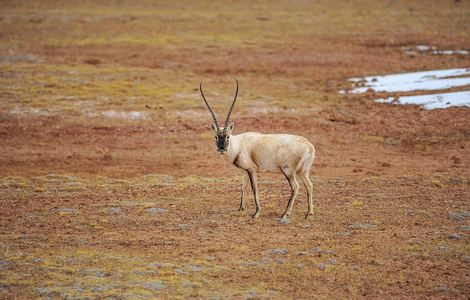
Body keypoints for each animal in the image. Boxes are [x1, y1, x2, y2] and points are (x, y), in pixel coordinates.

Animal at [199, 78, 316, 221]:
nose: (222, 148)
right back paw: (309, 214)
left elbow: (254, 188)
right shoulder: (245, 171)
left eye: (227, 136)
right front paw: (241, 208)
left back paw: (285, 214)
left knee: (296, 187)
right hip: (302, 172)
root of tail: (308, 145)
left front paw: (256, 213)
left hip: (288, 170)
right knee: (309, 185)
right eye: (216, 136)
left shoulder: (252, 170)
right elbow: (243, 186)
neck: (239, 144)